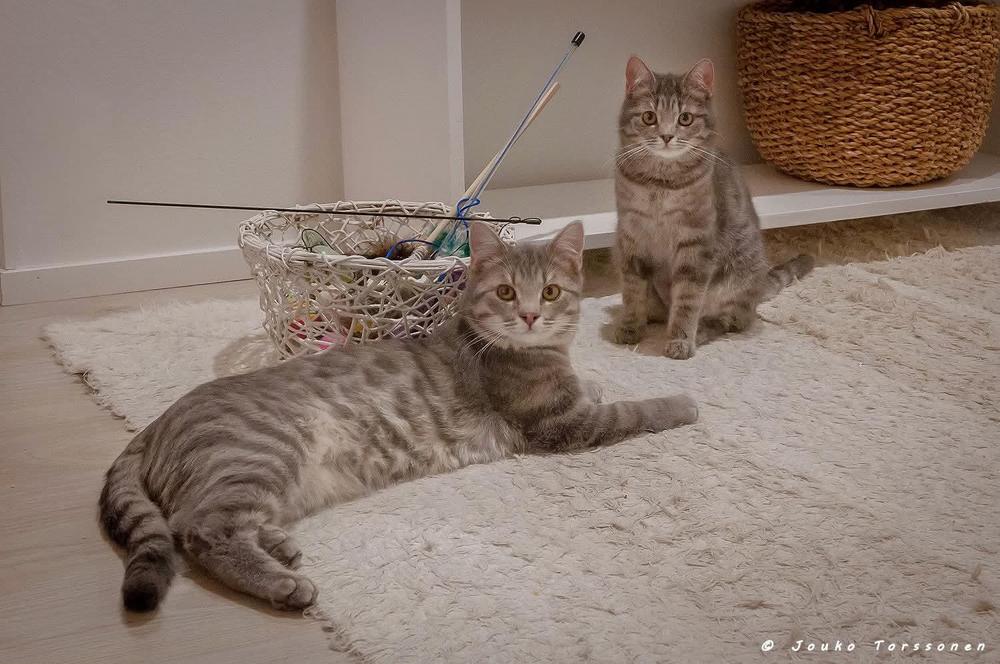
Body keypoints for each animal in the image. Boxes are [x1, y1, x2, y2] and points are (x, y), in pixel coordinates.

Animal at [100, 221, 699, 612]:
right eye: (507, 292)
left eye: (550, 291)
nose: (530, 316)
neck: (528, 352)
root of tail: (157, 422)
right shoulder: (560, 425)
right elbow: (633, 410)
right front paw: (683, 401)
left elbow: (592, 387)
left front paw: (596, 379)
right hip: (259, 454)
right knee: (198, 528)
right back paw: (283, 585)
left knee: (214, 520)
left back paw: (279, 546)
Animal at [613, 56, 814, 359]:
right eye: (649, 117)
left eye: (685, 118)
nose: (667, 136)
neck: (660, 183)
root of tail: (758, 287)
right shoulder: (631, 239)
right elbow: (632, 291)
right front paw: (630, 327)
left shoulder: (695, 244)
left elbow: (687, 300)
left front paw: (680, 340)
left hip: (736, 279)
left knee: (729, 321)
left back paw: (701, 331)